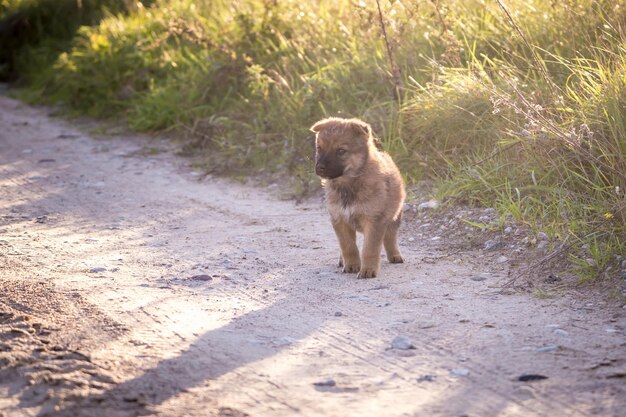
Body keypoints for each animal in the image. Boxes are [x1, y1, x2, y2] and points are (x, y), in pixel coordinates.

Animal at [310, 117, 404, 278]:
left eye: (341, 151)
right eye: (319, 148)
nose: (320, 167)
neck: (349, 184)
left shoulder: (374, 220)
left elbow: (370, 249)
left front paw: (368, 270)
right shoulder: (339, 219)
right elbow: (348, 246)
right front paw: (352, 265)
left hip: (394, 217)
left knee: (390, 237)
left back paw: (395, 255)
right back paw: (342, 261)